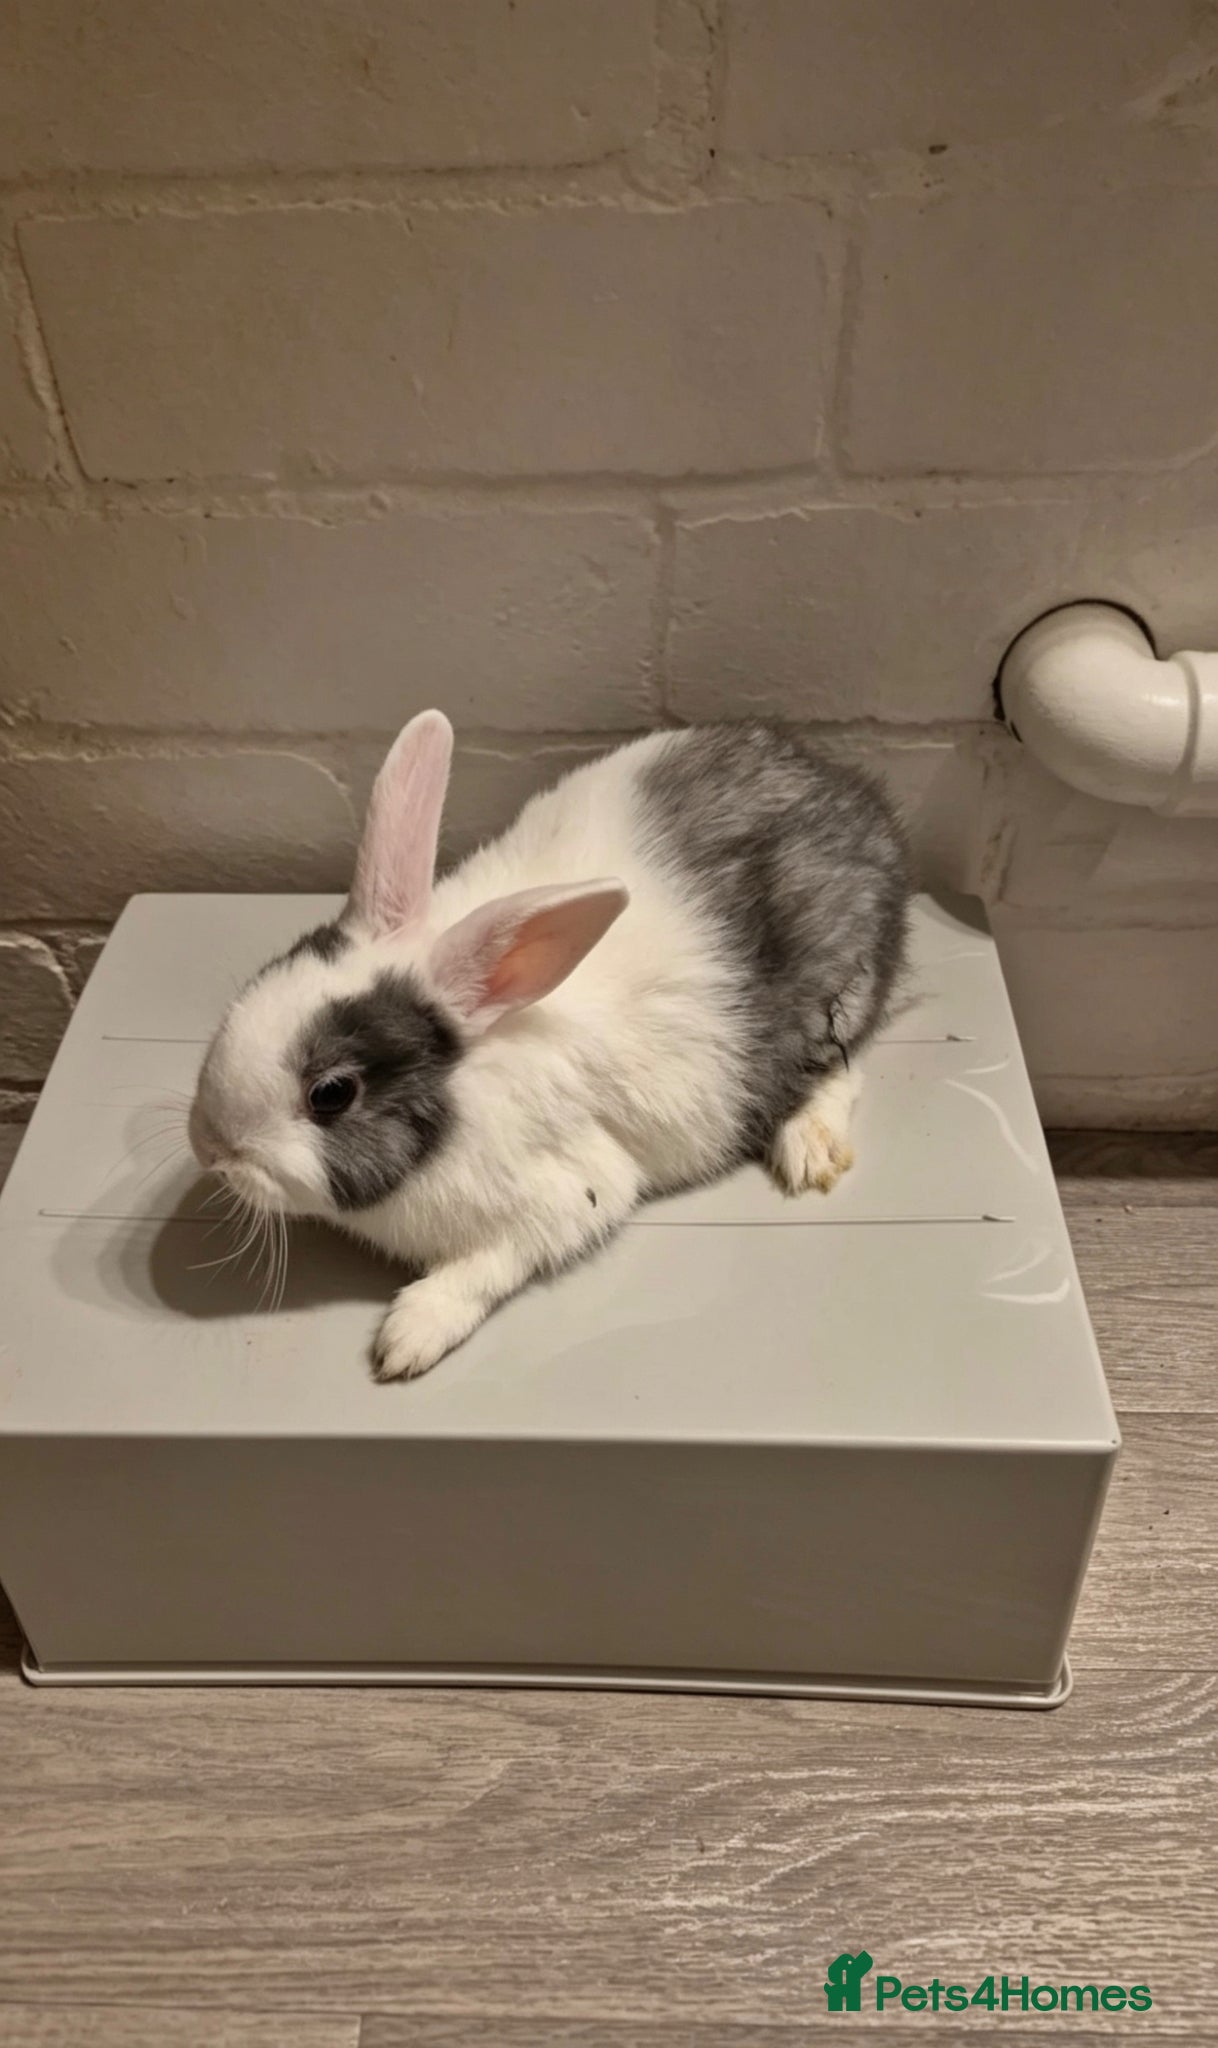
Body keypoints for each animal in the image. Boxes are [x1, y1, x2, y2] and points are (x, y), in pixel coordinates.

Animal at [188, 712, 911, 1381]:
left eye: (332, 1094)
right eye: (258, 979)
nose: (209, 1150)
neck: (461, 1091)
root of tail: (863, 807)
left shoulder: (572, 1192)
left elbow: (492, 1263)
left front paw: (406, 1338)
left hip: (832, 1001)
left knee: (842, 1070)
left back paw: (810, 1151)